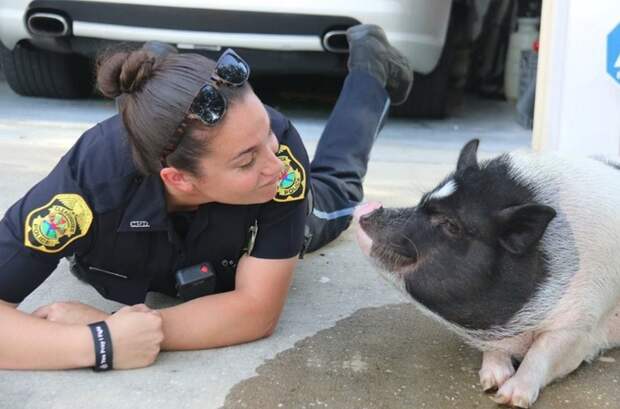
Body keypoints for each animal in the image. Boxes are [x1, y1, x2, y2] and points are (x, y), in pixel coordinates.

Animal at [354, 139, 620, 406]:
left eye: (451, 225)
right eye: (422, 201)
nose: (368, 208)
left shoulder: (580, 324)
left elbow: (541, 353)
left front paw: (508, 398)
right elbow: (495, 350)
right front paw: (490, 382)